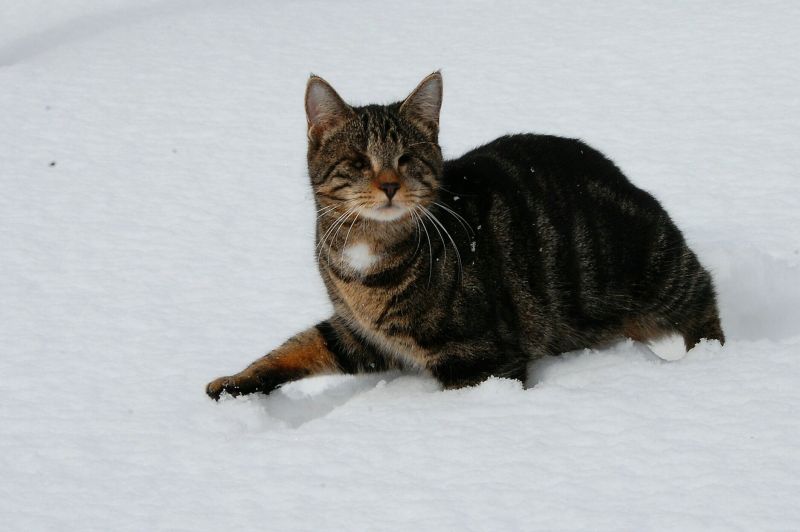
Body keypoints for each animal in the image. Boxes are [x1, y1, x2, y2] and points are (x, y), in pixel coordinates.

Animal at [205, 72, 724, 402]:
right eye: (357, 160)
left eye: (408, 159)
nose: (389, 185)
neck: (366, 258)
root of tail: (622, 178)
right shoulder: (358, 333)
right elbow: (298, 347)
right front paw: (234, 382)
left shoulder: (478, 359)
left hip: (658, 271)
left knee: (703, 300)